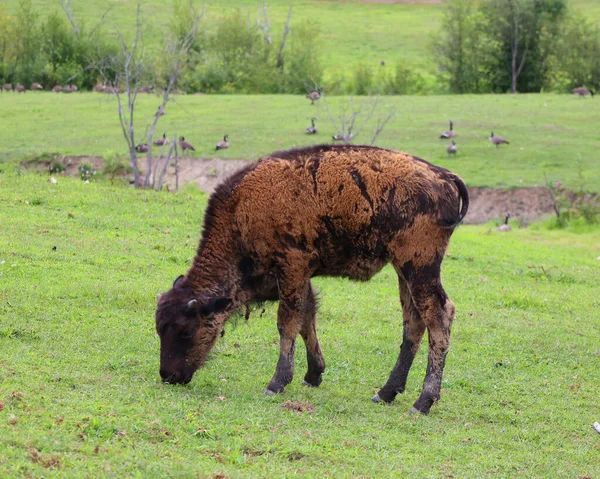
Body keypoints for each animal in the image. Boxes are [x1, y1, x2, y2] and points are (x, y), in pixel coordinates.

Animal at [157, 143, 472, 416]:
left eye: (186, 331)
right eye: (160, 330)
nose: (168, 376)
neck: (241, 210)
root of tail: (445, 176)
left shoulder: (292, 267)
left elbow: (287, 323)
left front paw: (276, 384)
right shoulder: (300, 276)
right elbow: (307, 318)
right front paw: (313, 374)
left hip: (419, 267)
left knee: (439, 316)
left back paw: (422, 402)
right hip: (403, 271)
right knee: (413, 323)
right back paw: (385, 393)